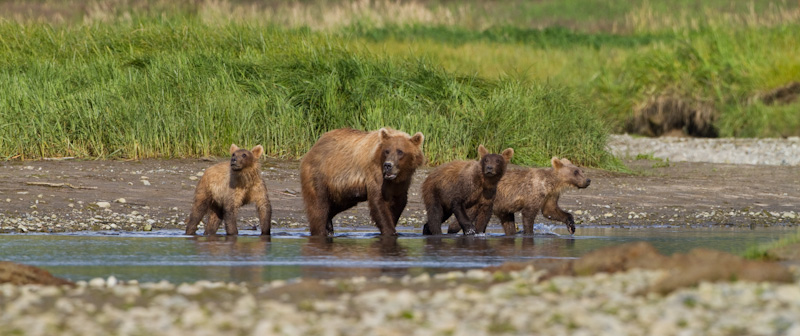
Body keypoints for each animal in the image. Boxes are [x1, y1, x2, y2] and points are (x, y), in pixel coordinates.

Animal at [446, 156, 592, 235]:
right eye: (575, 172)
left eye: (580, 170)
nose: (588, 180)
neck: (551, 184)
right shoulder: (533, 192)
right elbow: (528, 214)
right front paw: (529, 233)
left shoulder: (550, 195)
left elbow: (550, 211)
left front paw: (571, 226)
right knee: (467, 215)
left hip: (502, 206)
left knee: (508, 223)